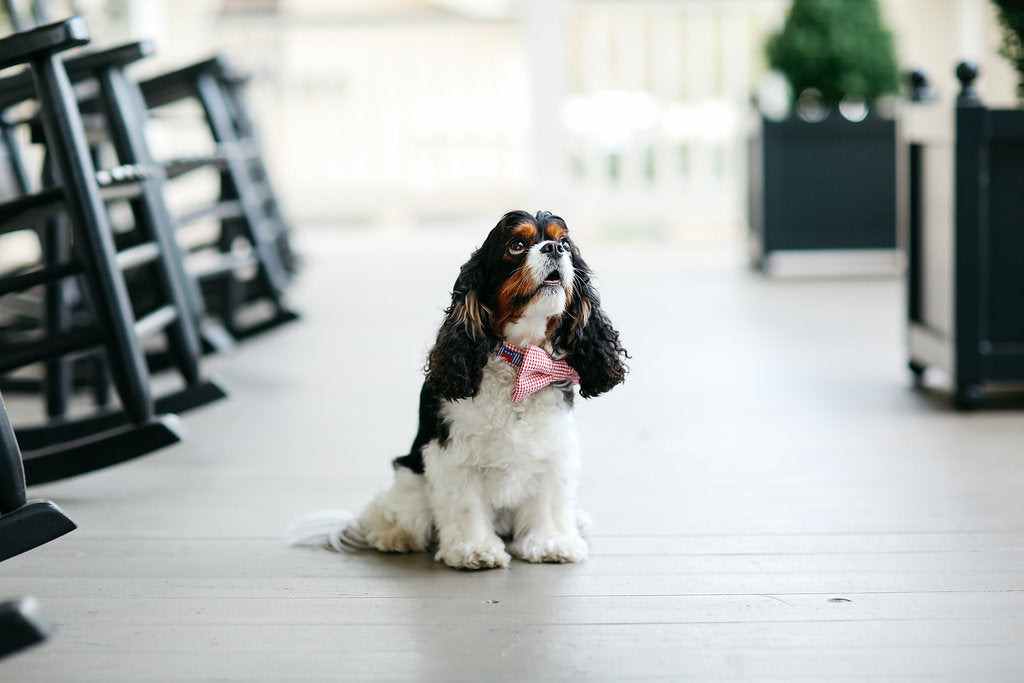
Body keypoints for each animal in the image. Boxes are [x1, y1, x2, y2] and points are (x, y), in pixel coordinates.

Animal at [284, 209, 626, 573]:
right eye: (517, 246)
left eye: (566, 245)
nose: (554, 249)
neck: (520, 359)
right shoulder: (453, 454)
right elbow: (465, 505)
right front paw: (474, 550)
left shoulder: (552, 448)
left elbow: (549, 501)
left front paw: (551, 542)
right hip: (410, 477)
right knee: (385, 512)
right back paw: (395, 535)